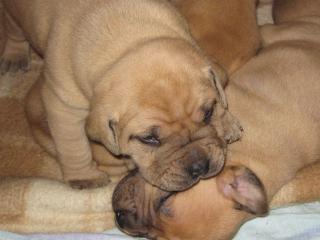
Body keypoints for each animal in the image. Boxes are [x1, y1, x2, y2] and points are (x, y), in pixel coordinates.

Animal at [0, 0, 242, 191]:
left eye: (208, 113)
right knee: (13, 31)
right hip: (13, 15)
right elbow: (72, 143)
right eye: (148, 139)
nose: (199, 167)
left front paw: (227, 122)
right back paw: (14, 56)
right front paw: (85, 177)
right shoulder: (63, 103)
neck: (130, 39)